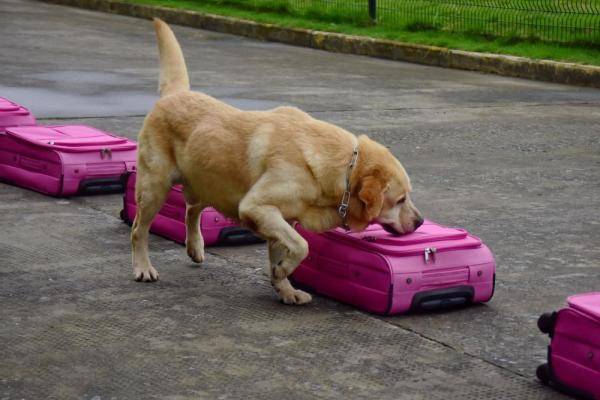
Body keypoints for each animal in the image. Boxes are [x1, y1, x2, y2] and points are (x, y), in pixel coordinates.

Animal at [131, 18, 422, 304]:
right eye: (400, 200)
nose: (420, 222)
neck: (339, 170)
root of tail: (174, 94)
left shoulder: (282, 220)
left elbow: (287, 249)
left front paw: (285, 288)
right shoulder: (257, 207)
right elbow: (302, 246)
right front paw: (282, 272)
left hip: (210, 182)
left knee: (191, 209)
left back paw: (195, 246)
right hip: (155, 189)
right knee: (139, 229)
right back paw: (143, 268)